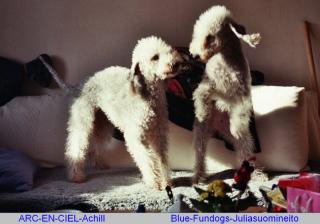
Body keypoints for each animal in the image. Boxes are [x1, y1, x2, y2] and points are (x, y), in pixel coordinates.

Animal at [64, 36, 182, 189]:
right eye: (155, 57)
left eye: (169, 50)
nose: (177, 63)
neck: (148, 96)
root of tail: (80, 86)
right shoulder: (135, 136)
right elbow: (146, 159)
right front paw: (154, 182)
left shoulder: (158, 134)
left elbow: (161, 158)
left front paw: (166, 181)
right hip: (83, 119)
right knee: (76, 145)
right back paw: (76, 176)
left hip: (102, 123)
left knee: (95, 145)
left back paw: (100, 164)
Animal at [189, 6, 262, 183]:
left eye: (210, 37)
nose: (194, 55)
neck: (226, 60)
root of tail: (216, 127)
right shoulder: (209, 84)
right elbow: (201, 93)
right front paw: (202, 112)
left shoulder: (242, 94)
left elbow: (239, 112)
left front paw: (235, 128)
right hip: (201, 135)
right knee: (200, 156)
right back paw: (198, 177)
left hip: (241, 138)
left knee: (245, 150)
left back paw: (256, 174)